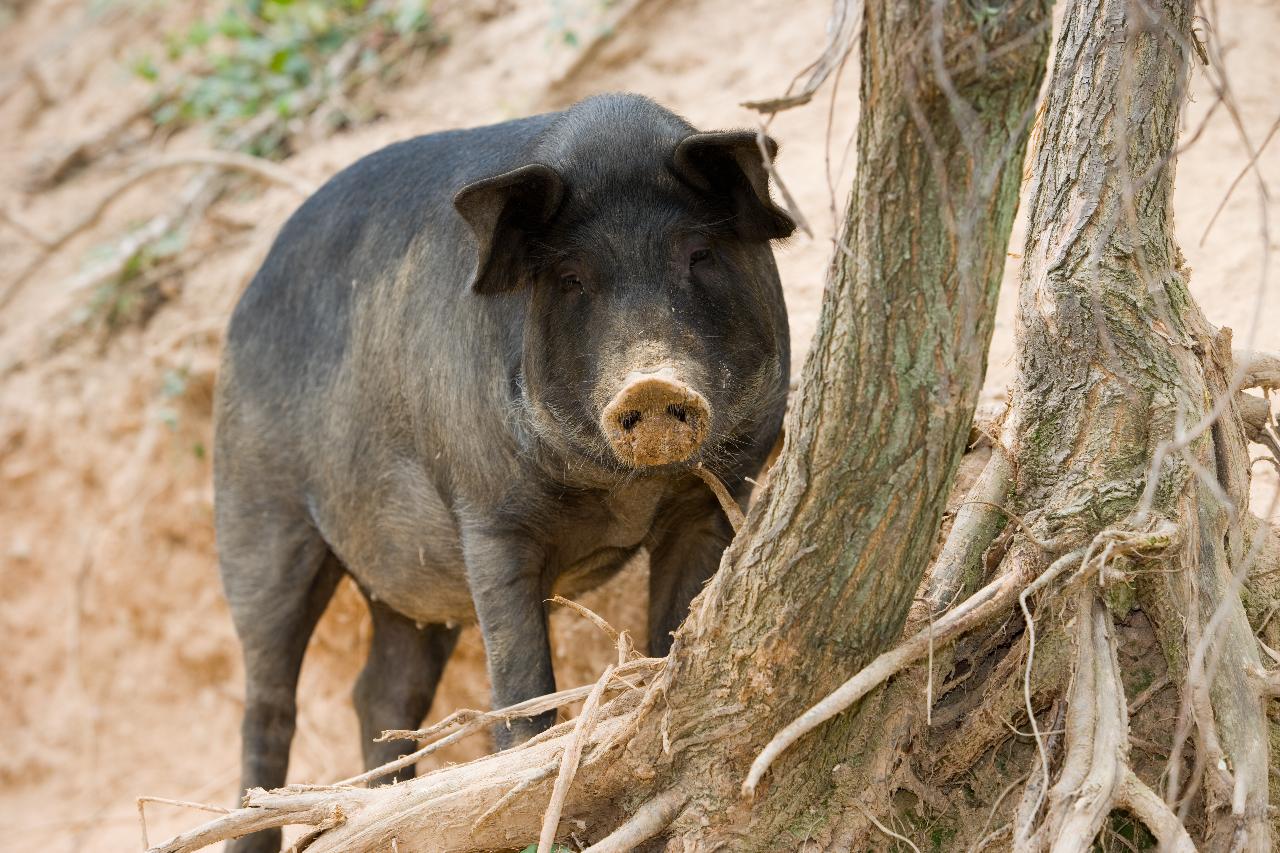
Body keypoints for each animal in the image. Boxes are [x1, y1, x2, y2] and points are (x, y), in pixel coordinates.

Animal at [213, 92, 788, 850]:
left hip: (412, 582)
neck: (628, 494)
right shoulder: (489, 517)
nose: (650, 383)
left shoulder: (713, 496)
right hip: (258, 513)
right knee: (268, 697)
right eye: (571, 277)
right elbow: (522, 688)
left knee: (380, 691)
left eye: (697, 252)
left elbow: (672, 630)